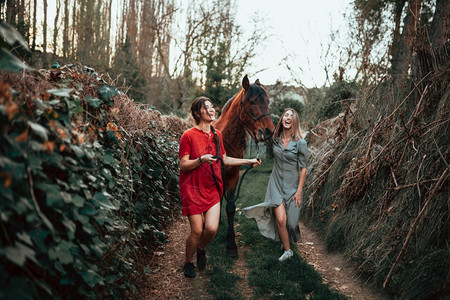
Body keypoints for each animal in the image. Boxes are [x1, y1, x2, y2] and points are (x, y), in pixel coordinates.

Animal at [214, 74, 274, 255]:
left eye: (268, 101)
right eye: (252, 102)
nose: (269, 131)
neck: (226, 139)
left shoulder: (233, 175)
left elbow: (230, 207)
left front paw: (231, 244)